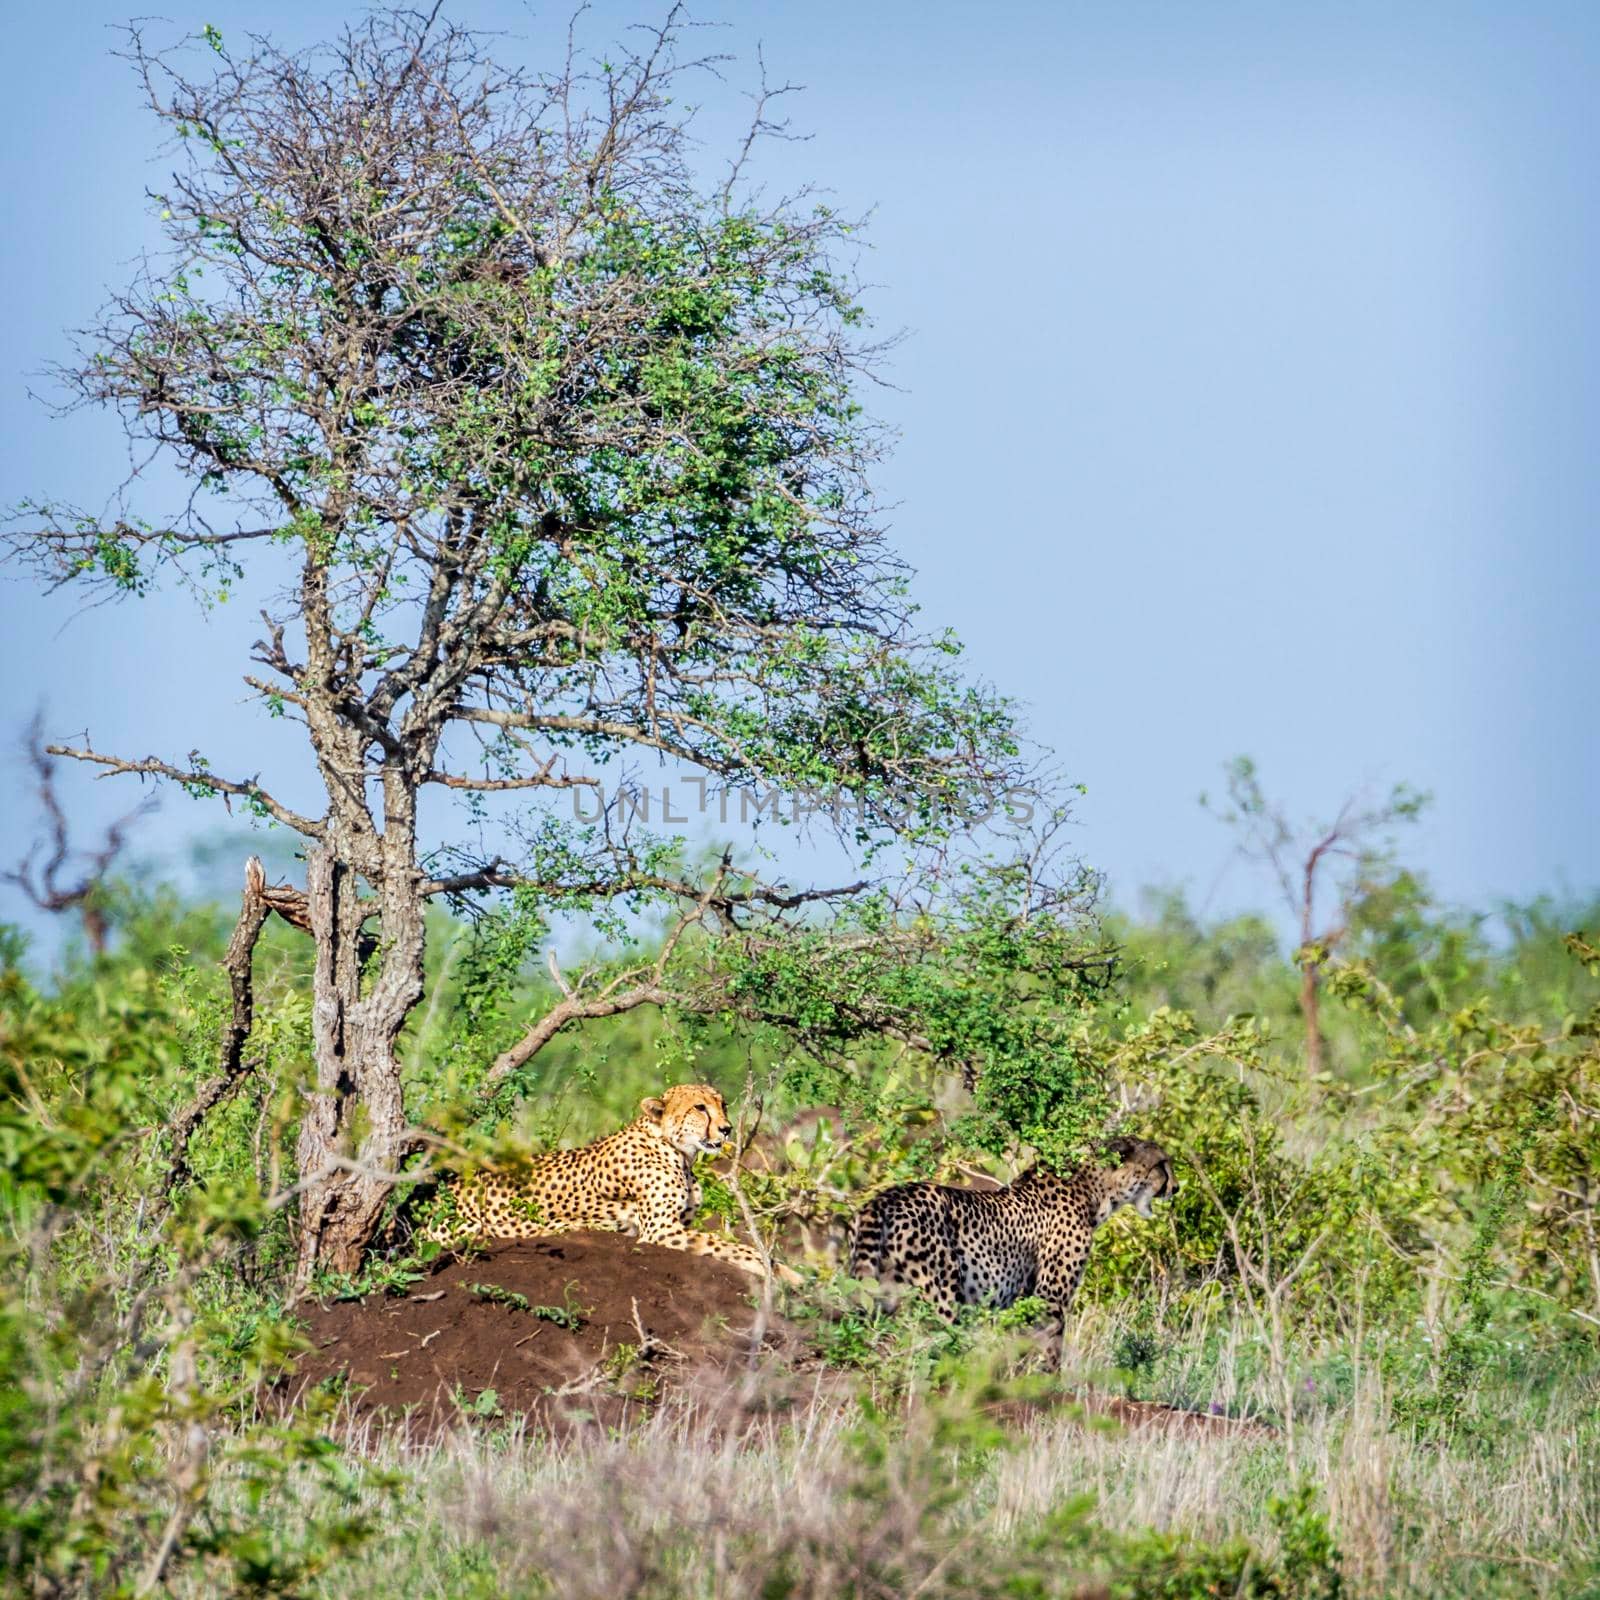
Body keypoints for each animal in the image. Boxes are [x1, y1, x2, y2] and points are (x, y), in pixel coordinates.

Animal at [851, 1139, 1177, 1324]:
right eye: (1162, 1164)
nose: (1176, 1187)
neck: (1093, 1191)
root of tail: (886, 1196)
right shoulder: (1050, 1295)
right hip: (940, 1292)